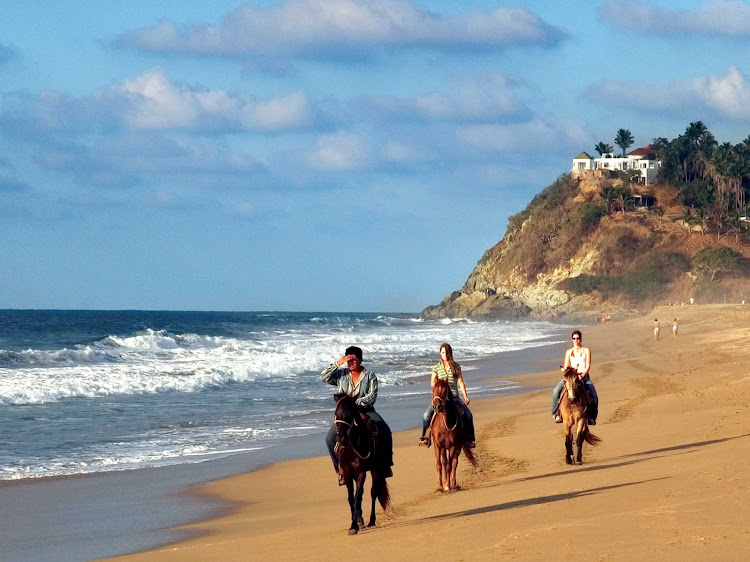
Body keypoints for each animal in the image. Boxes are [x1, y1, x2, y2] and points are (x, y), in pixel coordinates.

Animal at [336, 392, 394, 532]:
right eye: (336, 413)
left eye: (350, 414)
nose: (342, 439)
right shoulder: (347, 472)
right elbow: (352, 498)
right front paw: (356, 522)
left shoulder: (361, 472)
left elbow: (357, 497)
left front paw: (354, 526)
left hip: (376, 469)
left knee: (374, 492)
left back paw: (372, 521)